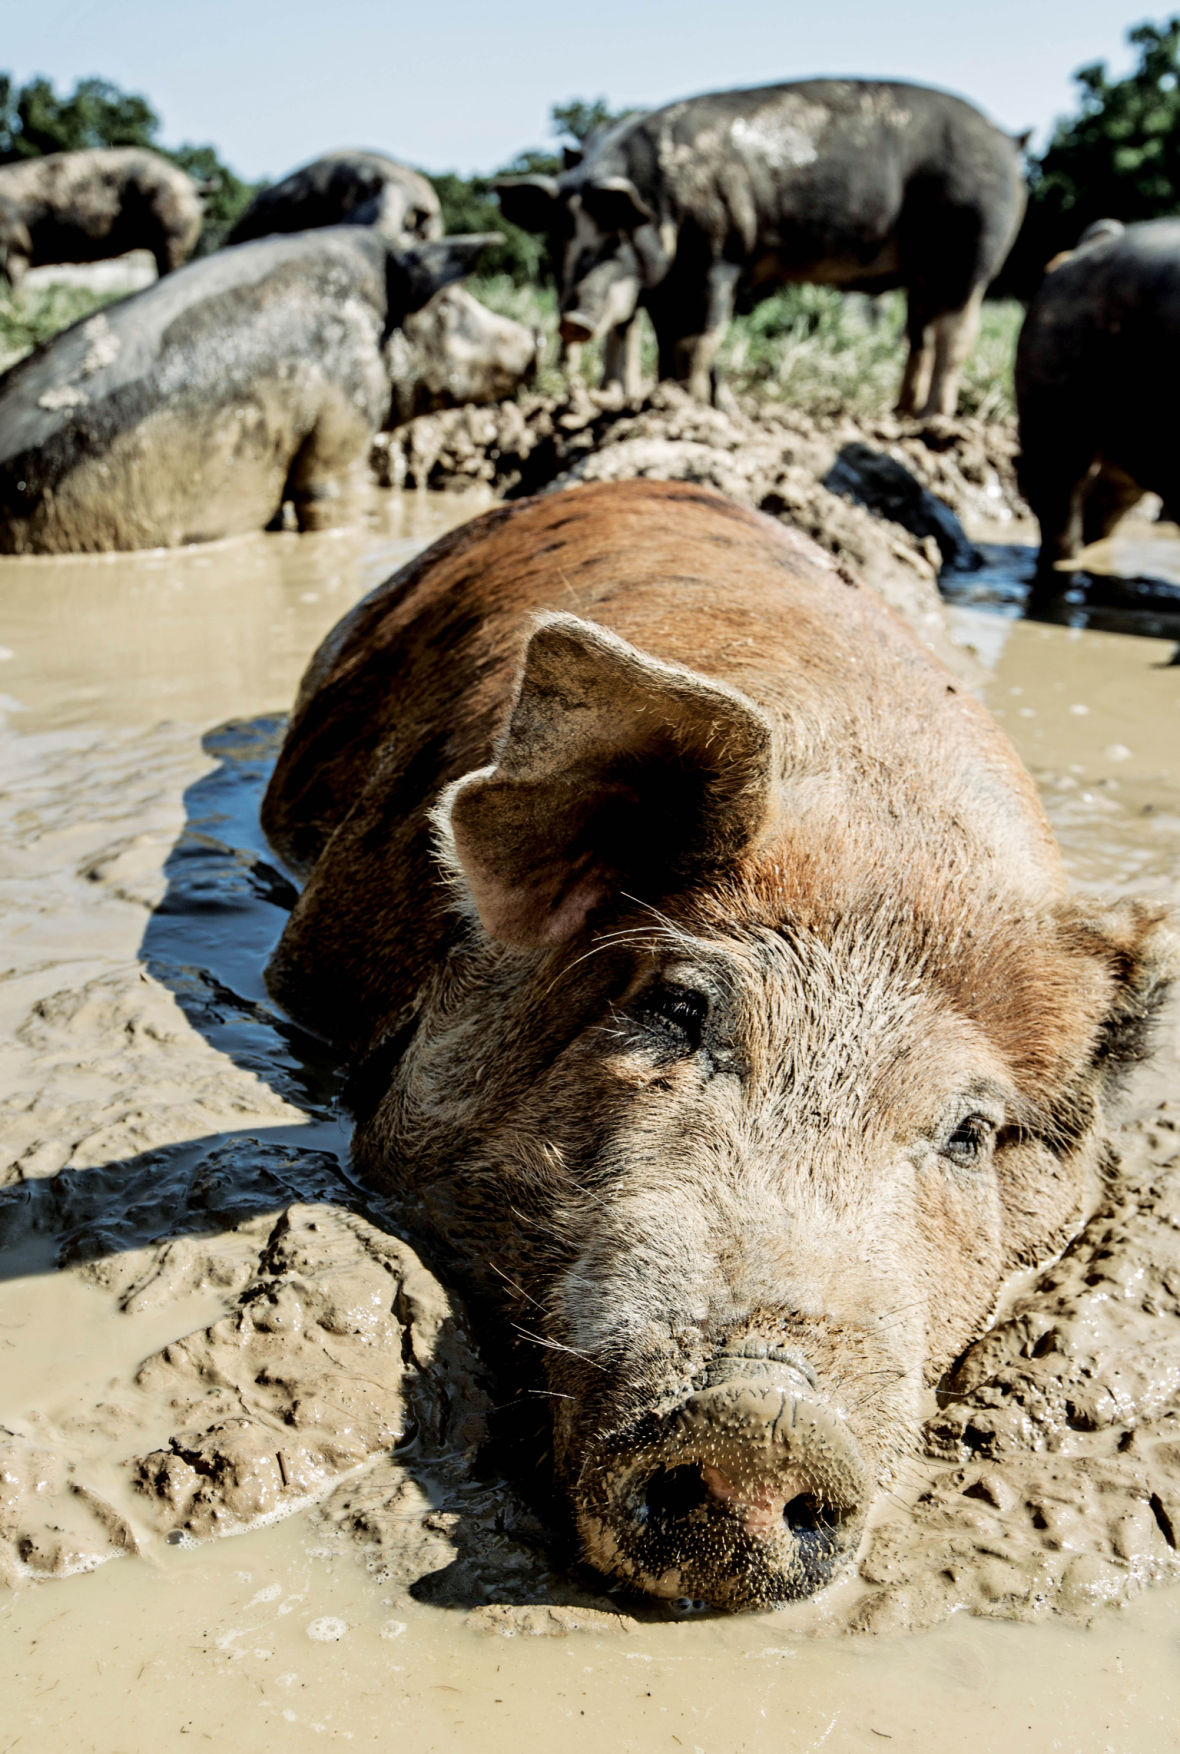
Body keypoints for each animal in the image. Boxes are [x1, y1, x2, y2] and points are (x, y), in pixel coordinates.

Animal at [497, 80, 1026, 414]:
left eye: (615, 238)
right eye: (557, 237)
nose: (572, 321)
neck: (662, 198)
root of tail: (1007, 139)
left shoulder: (719, 258)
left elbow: (699, 341)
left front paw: (689, 406)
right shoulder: (669, 284)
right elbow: (668, 344)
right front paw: (665, 400)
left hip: (974, 244)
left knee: (957, 331)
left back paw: (933, 421)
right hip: (922, 269)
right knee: (921, 333)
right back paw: (900, 411)